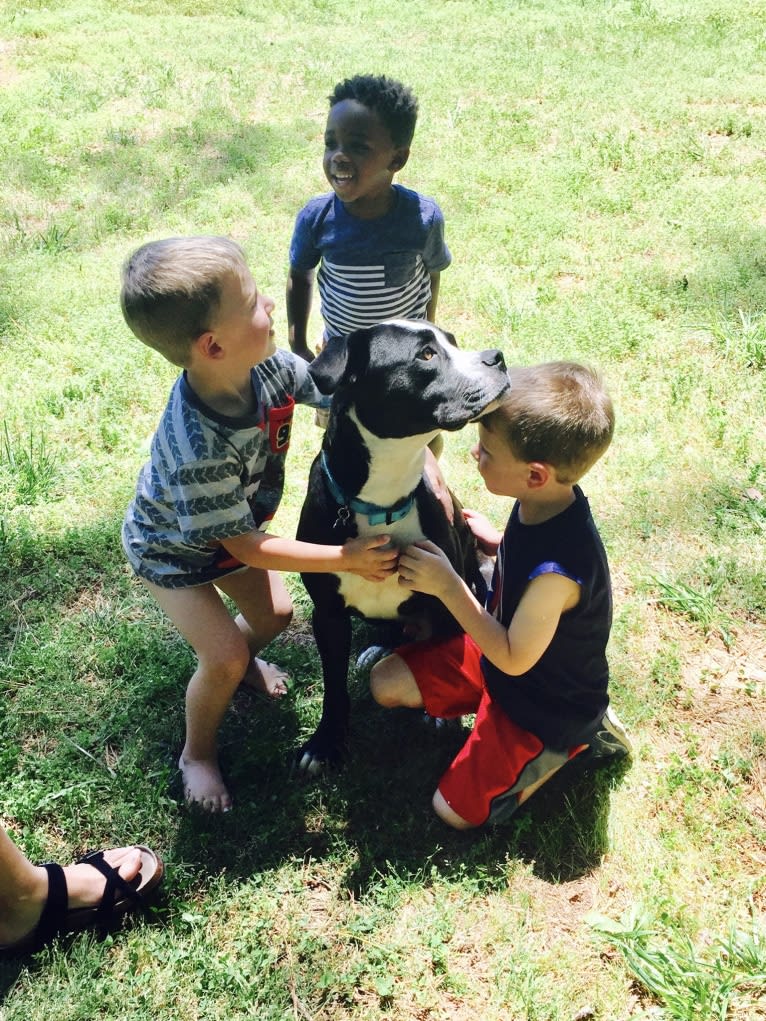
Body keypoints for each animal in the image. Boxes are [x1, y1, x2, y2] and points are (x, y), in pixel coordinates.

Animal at [298, 318, 510, 771]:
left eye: (453, 342)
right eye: (426, 355)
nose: (497, 357)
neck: (383, 501)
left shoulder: (447, 599)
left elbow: (443, 654)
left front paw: (441, 714)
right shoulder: (328, 615)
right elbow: (333, 685)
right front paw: (325, 741)